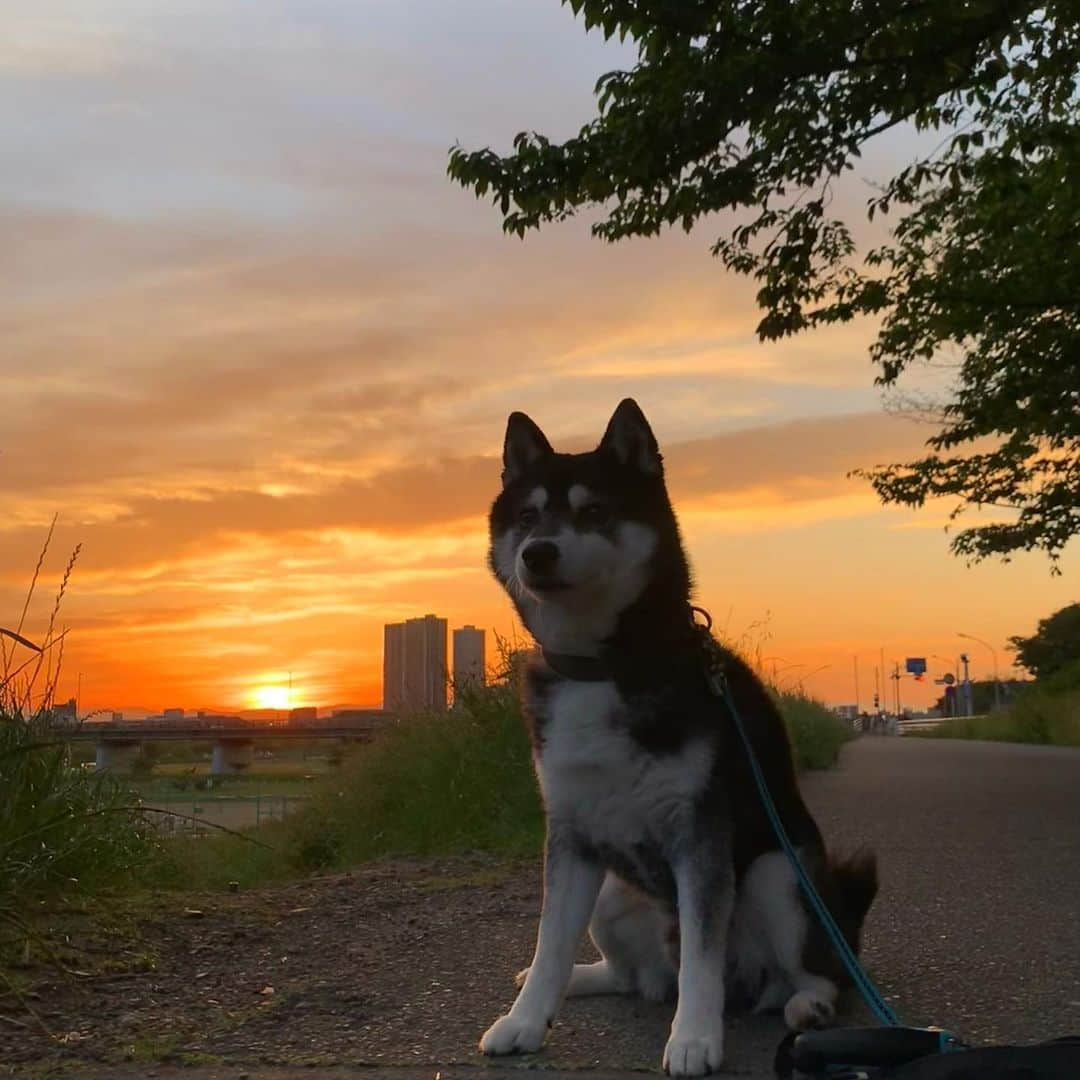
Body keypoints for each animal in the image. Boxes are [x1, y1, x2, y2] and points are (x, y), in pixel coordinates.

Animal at [481, 401, 876, 1075]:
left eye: (594, 511)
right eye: (529, 516)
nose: (538, 553)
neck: (603, 665)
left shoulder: (700, 831)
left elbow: (701, 959)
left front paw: (693, 1038)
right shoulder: (572, 831)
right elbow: (548, 943)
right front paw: (525, 1019)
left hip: (778, 874)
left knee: (814, 974)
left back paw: (809, 1007)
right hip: (615, 896)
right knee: (630, 978)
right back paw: (580, 979)